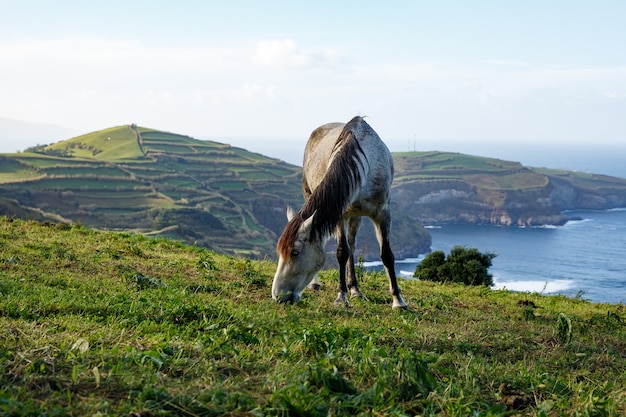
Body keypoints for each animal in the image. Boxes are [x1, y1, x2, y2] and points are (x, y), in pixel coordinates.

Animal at [270, 115, 408, 308]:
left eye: (295, 252)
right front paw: (341, 296)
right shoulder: (339, 215)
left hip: (356, 215)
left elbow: (386, 254)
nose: (277, 295)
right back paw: (316, 283)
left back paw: (355, 289)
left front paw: (398, 300)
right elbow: (342, 252)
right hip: (310, 193)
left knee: (352, 244)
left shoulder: (383, 213)